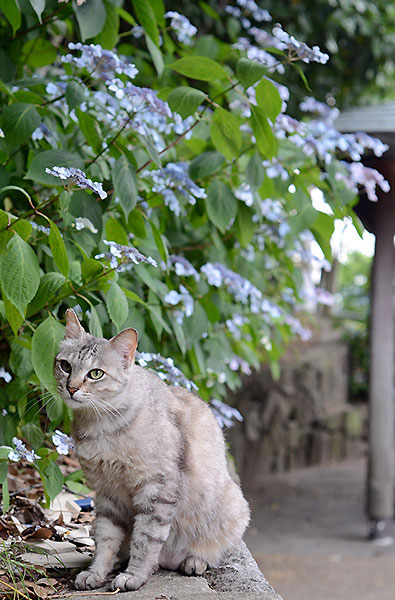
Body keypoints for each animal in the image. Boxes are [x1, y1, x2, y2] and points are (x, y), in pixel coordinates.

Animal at [55, 310, 251, 592]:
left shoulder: (157, 489)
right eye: (65, 366)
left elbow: (146, 540)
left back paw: (194, 561)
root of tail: (170, 560)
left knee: (216, 554)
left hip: (234, 508)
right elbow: (105, 540)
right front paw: (96, 572)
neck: (100, 427)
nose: (71, 388)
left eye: (95, 373)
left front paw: (134, 576)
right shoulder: (107, 493)